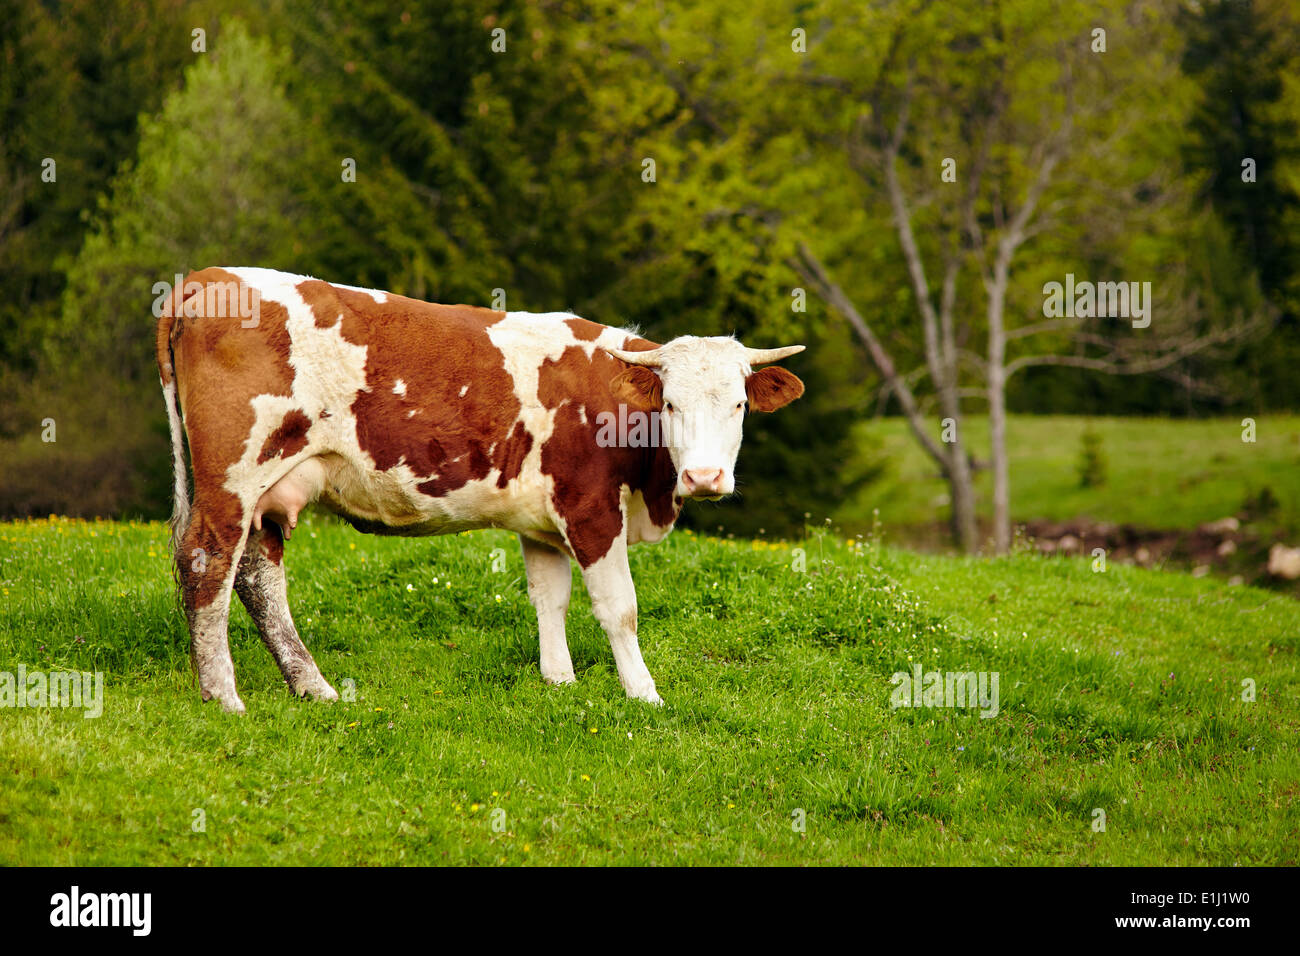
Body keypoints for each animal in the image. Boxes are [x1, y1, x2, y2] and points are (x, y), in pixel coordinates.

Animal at [156, 267, 805, 712]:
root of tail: (207, 278)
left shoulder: (541, 520)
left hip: (270, 490)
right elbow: (619, 608)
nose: (705, 478)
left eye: (740, 404)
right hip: (234, 476)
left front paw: (559, 682)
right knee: (208, 560)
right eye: (670, 404)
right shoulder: (591, 509)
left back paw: (313, 687)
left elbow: (550, 598)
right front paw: (644, 696)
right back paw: (223, 696)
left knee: (259, 576)